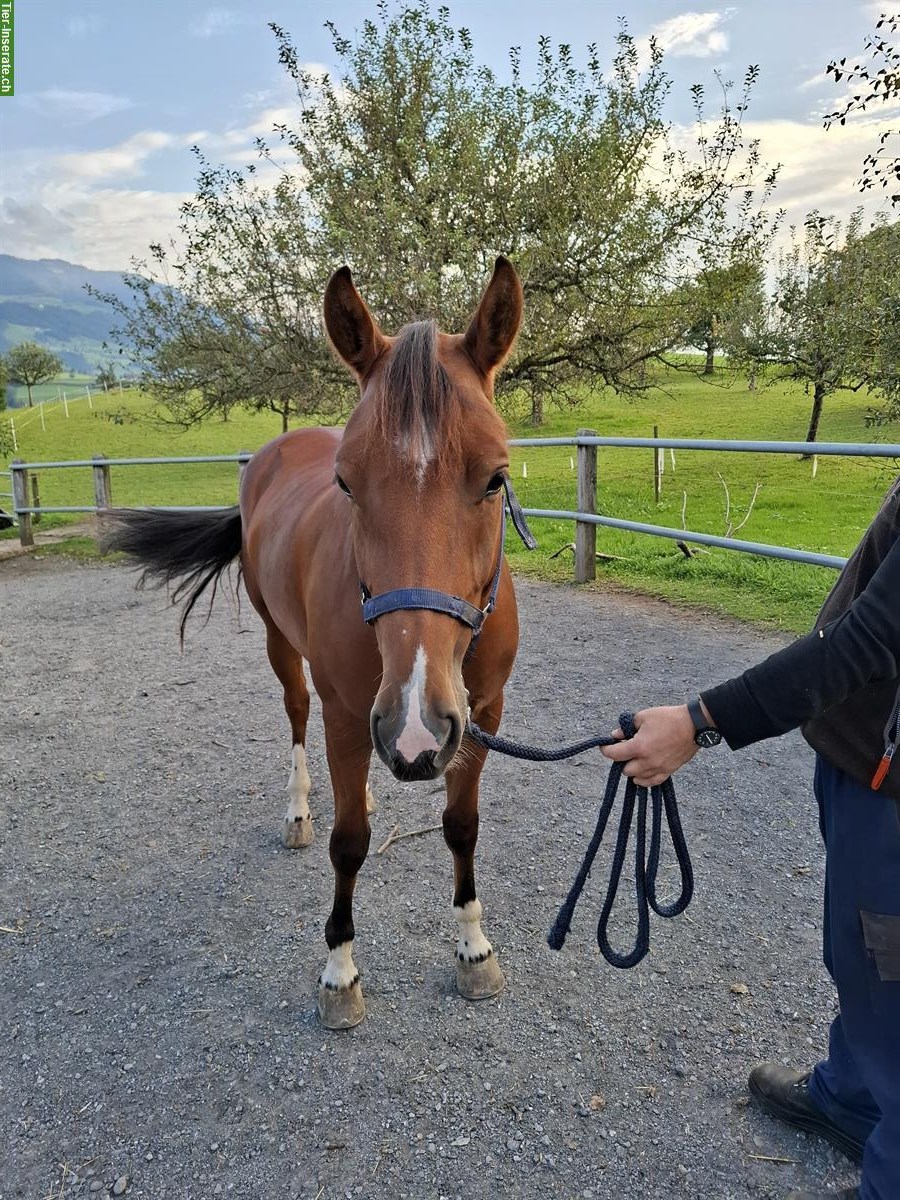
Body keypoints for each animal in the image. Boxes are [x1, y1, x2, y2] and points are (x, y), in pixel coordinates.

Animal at [106, 258, 528, 1027]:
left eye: (495, 478)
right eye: (347, 483)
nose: (416, 726)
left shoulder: (483, 716)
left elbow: (461, 826)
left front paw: (474, 949)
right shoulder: (349, 714)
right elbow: (349, 842)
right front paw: (340, 972)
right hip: (286, 651)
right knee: (298, 719)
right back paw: (300, 808)